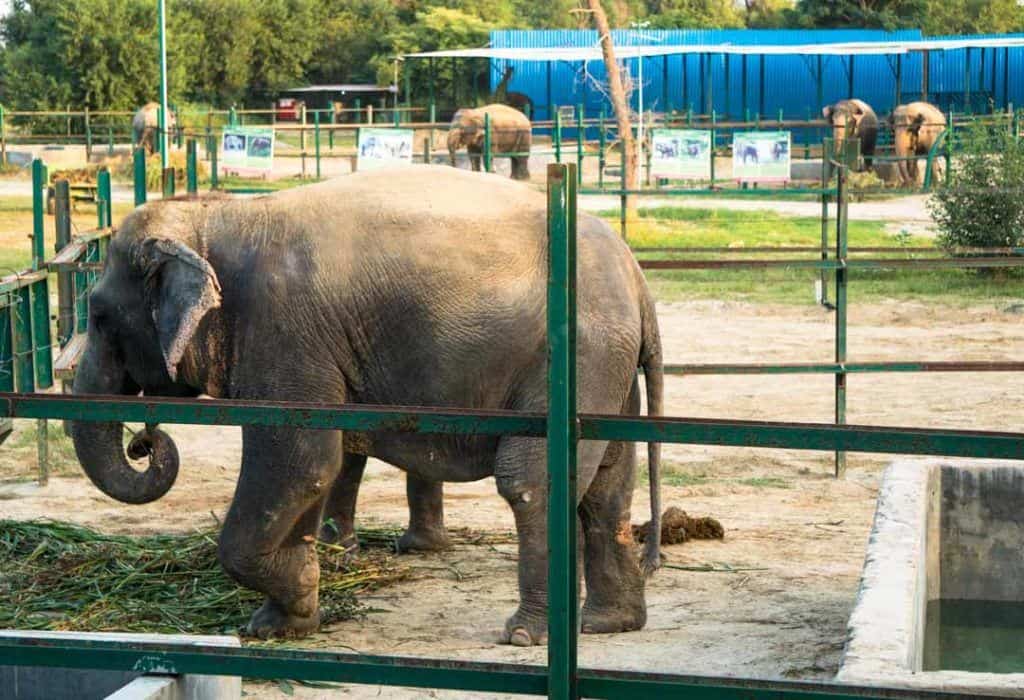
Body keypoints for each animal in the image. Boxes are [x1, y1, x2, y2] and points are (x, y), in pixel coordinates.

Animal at [70, 165, 663, 646]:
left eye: (98, 316)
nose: (146, 440)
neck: (218, 214)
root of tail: (637, 279)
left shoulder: (282, 332)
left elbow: (298, 461)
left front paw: (295, 597)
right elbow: (312, 470)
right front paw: (284, 620)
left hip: (576, 357)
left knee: (531, 481)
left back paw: (525, 635)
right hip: (607, 368)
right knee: (609, 484)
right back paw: (608, 624)